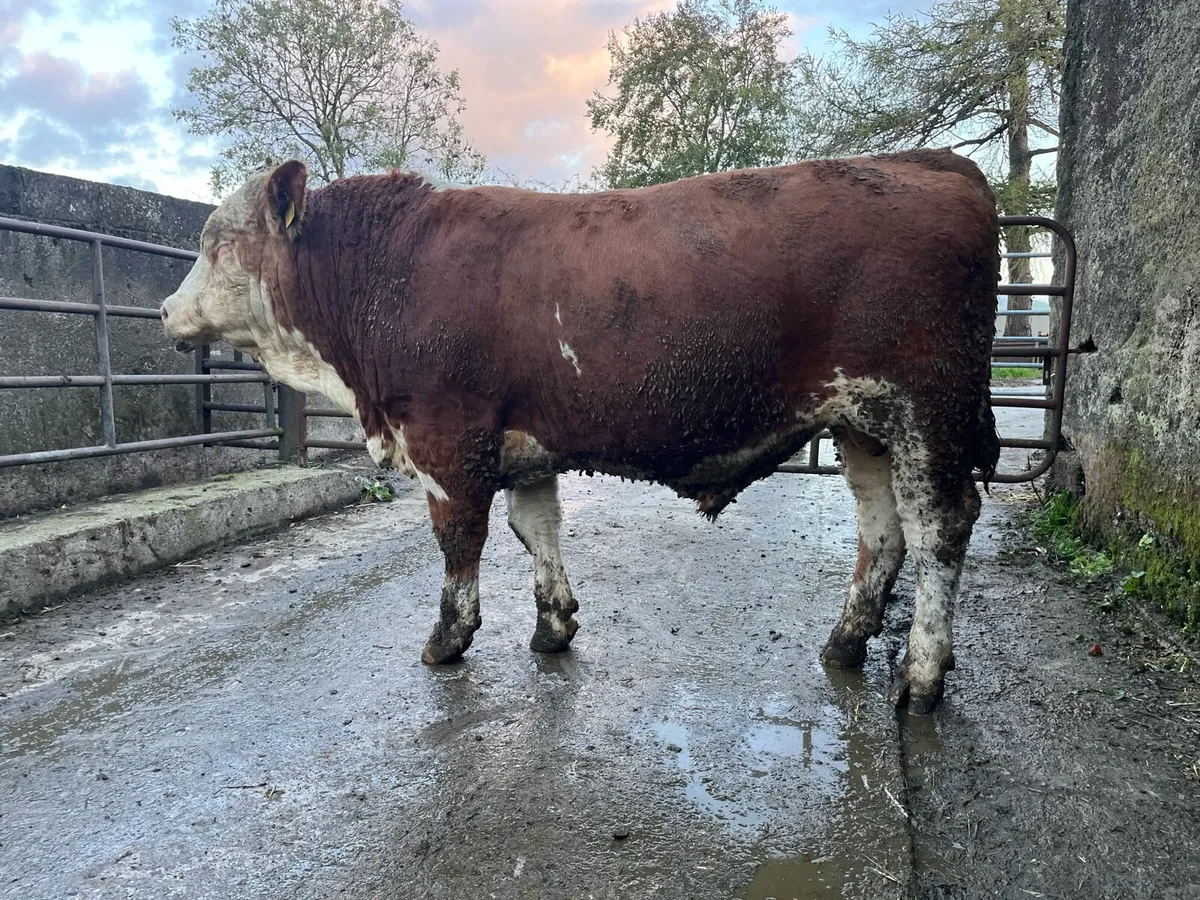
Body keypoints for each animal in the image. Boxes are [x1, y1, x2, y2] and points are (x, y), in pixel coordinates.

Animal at [161, 149, 1001, 714]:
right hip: (863, 425)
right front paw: (553, 624)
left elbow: (459, 542)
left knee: (939, 528)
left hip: (927, 411)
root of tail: (933, 163)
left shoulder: (445, 437)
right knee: (883, 532)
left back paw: (922, 676)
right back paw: (847, 643)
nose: (165, 310)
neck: (388, 275)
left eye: (219, 243)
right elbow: (537, 528)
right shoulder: (524, 443)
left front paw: (448, 639)